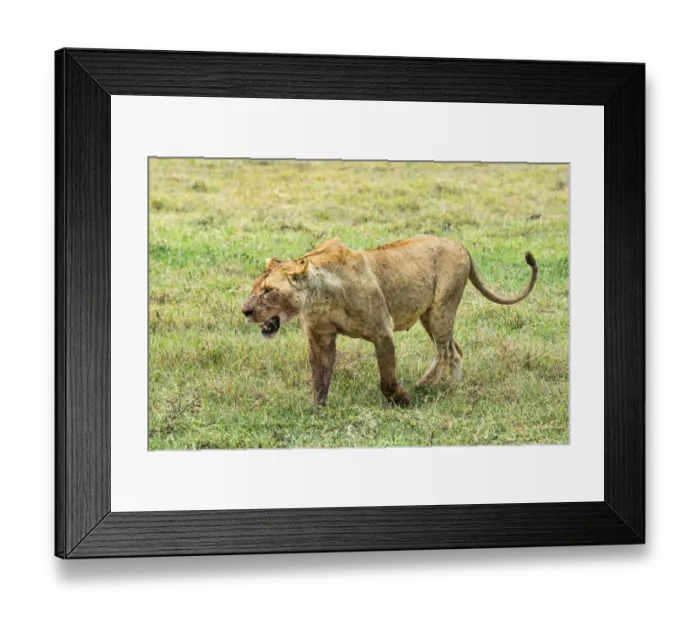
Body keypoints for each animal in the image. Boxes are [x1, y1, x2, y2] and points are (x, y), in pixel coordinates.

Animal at [242, 235, 537, 408]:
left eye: (268, 291)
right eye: (255, 287)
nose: (245, 310)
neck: (318, 296)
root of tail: (461, 246)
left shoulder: (382, 331)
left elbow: (387, 378)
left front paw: (402, 398)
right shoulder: (320, 338)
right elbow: (319, 377)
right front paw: (316, 408)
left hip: (442, 308)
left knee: (446, 351)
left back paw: (426, 385)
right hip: (429, 315)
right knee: (455, 350)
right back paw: (452, 386)